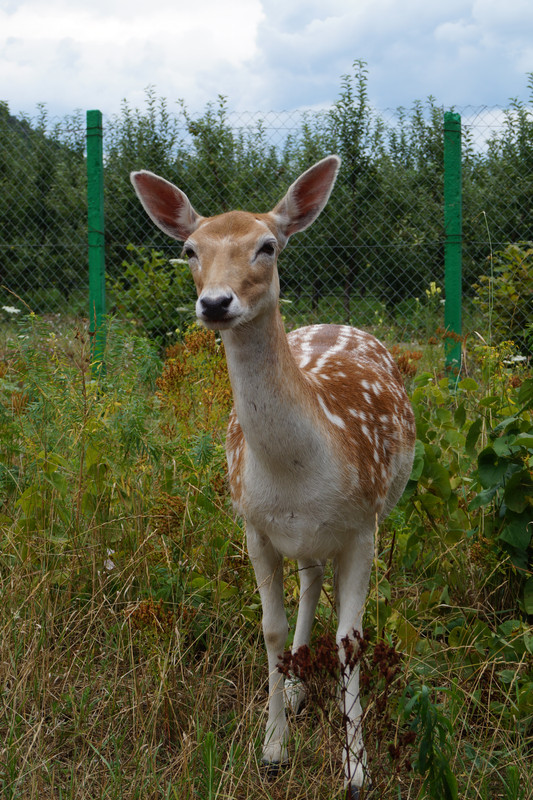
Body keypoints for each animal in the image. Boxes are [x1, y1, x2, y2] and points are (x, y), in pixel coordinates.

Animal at [130, 158, 416, 800]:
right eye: (189, 249)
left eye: (267, 245)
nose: (215, 302)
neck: (298, 471)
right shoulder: (255, 526)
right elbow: (271, 629)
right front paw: (273, 750)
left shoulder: (362, 527)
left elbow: (351, 640)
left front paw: (356, 769)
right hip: (299, 537)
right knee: (309, 583)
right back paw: (296, 686)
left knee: (320, 588)